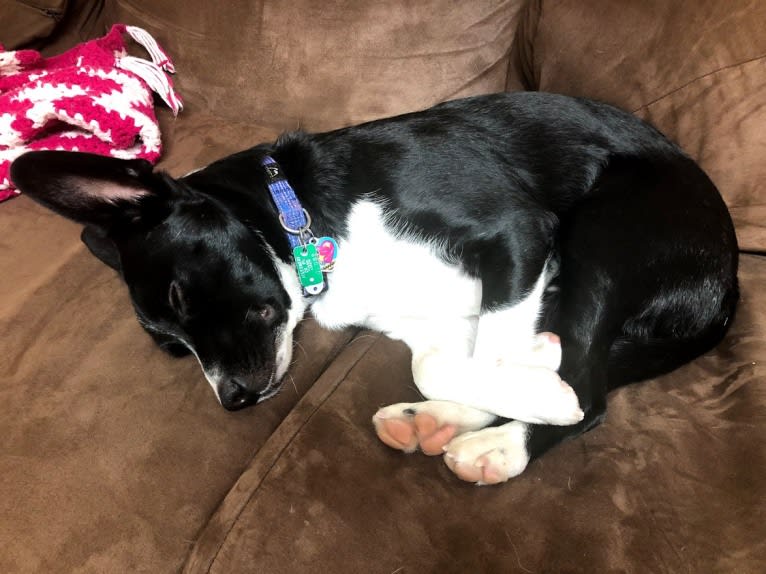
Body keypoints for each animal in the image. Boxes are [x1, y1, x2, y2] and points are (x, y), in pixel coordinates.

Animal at [10, 93, 736, 486]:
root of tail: (727, 278)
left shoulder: (518, 235)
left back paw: (502, 444)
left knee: (591, 388)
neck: (309, 220)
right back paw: (439, 421)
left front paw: (531, 386)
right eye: (170, 348)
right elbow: (437, 363)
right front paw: (486, 391)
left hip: (604, 232)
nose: (234, 400)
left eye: (183, 297)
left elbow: (502, 356)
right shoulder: (433, 321)